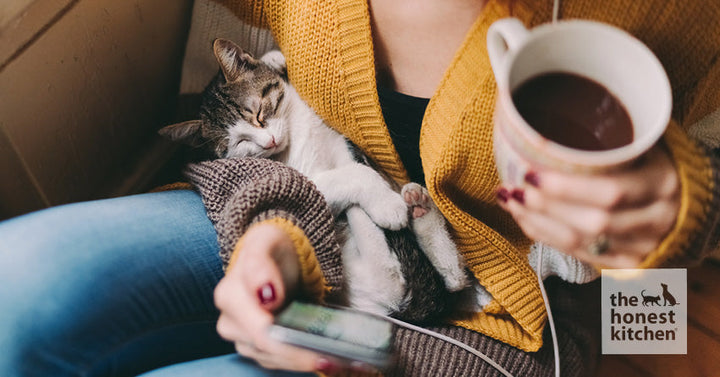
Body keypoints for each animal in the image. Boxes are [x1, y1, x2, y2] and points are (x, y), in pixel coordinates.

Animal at [159, 38, 466, 322]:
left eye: (259, 113)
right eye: (238, 143)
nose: (269, 142)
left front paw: (273, 59)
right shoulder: (299, 185)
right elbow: (351, 175)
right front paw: (385, 204)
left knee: (451, 283)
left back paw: (421, 211)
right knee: (392, 277)